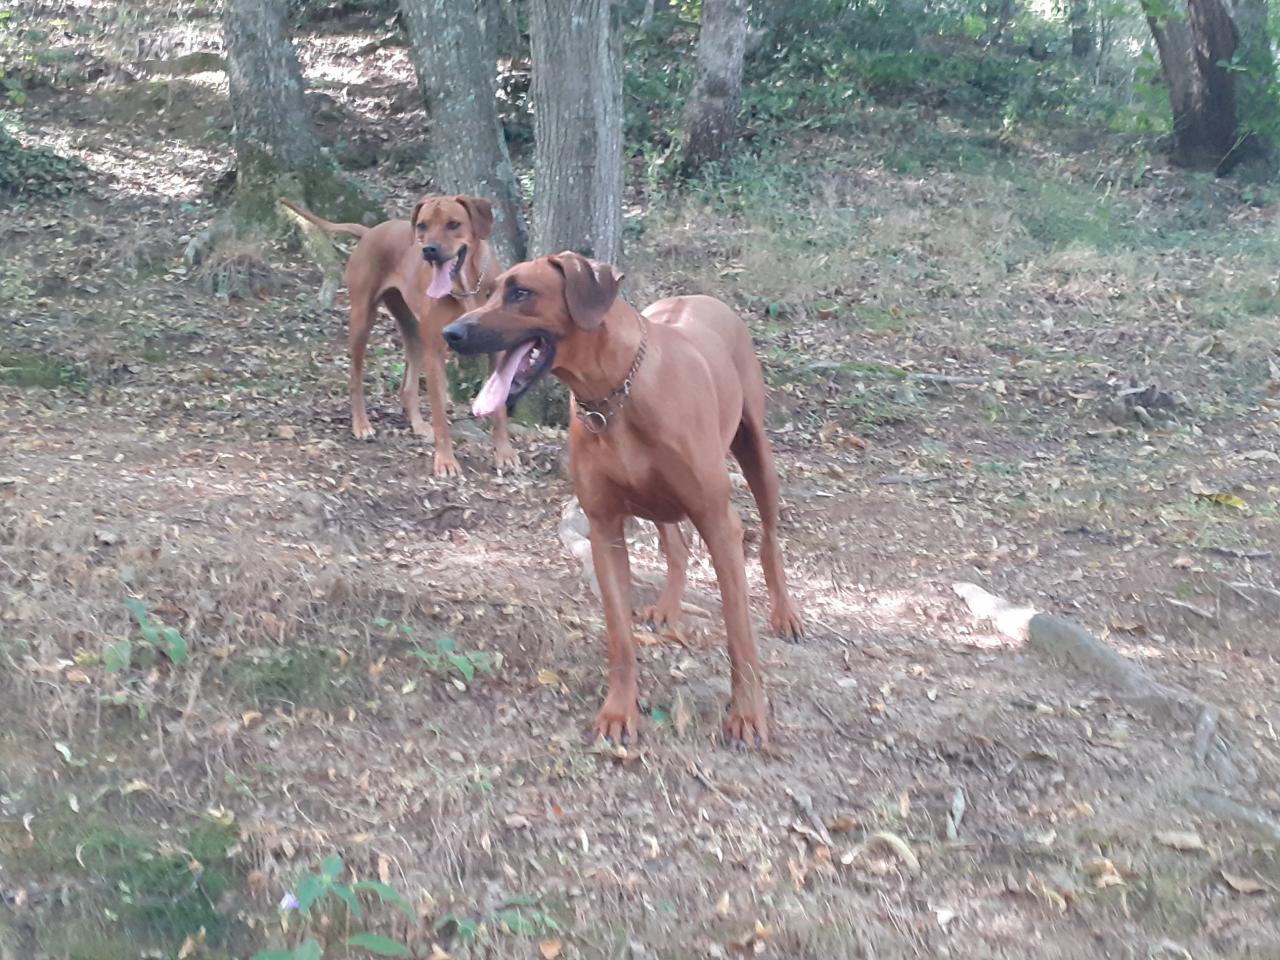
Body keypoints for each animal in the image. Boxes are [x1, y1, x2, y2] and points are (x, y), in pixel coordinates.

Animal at [282, 195, 517, 478]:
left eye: (453, 224)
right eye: (423, 225)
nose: (429, 250)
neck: (466, 286)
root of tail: (369, 232)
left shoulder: (498, 349)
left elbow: (499, 407)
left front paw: (505, 454)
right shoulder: (435, 351)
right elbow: (440, 413)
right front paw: (445, 461)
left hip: (412, 327)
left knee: (407, 386)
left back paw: (418, 425)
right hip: (362, 318)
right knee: (355, 378)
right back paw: (361, 425)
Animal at [440, 252, 798, 747]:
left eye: (521, 293)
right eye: (489, 291)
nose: (451, 333)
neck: (614, 395)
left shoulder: (717, 521)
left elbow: (739, 634)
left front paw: (746, 715)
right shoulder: (604, 526)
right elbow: (620, 637)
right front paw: (618, 711)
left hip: (755, 450)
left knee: (767, 536)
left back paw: (785, 613)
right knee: (676, 546)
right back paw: (667, 607)